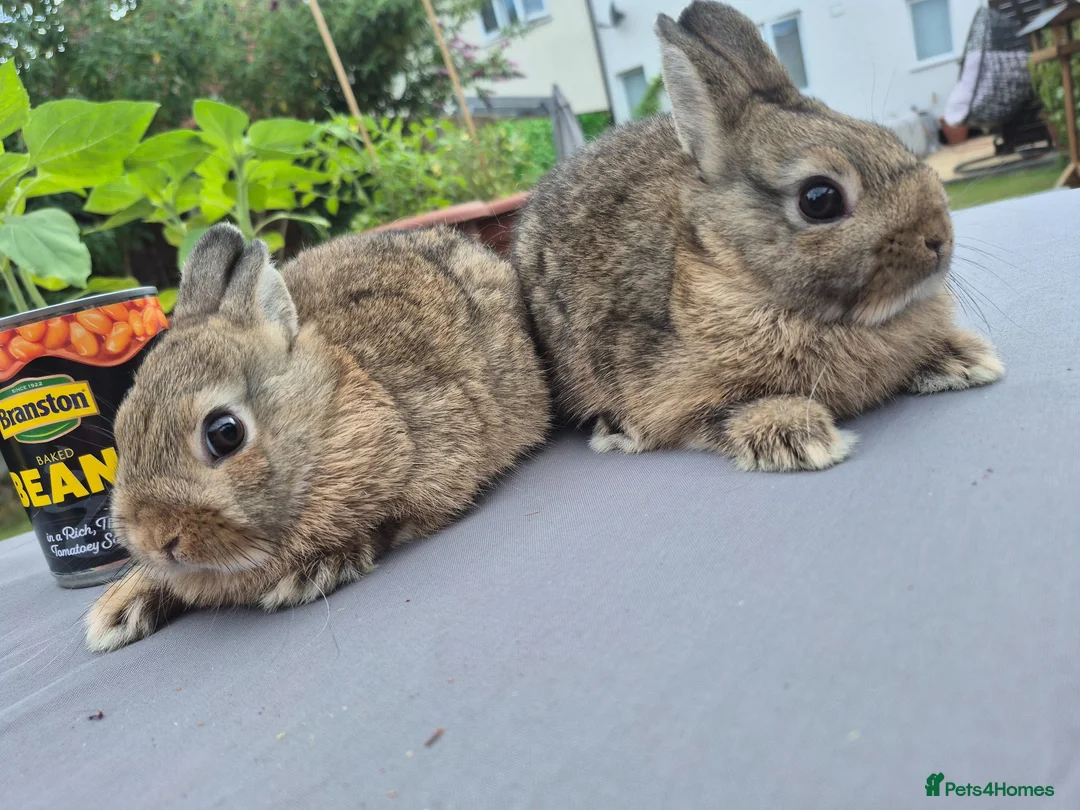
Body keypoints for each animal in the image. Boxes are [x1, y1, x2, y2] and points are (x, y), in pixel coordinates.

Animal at [85, 224, 550, 651]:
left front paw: (310, 573)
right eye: (122, 433)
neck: (322, 423)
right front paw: (115, 613)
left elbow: (385, 524)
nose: (155, 540)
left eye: (225, 433)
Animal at [513, 0, 1002, 472]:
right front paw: (801, 439)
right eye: (819, 198)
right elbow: (720, 416)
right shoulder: (672, 393)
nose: (938, 239)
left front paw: (965, 359)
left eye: (887, 138)